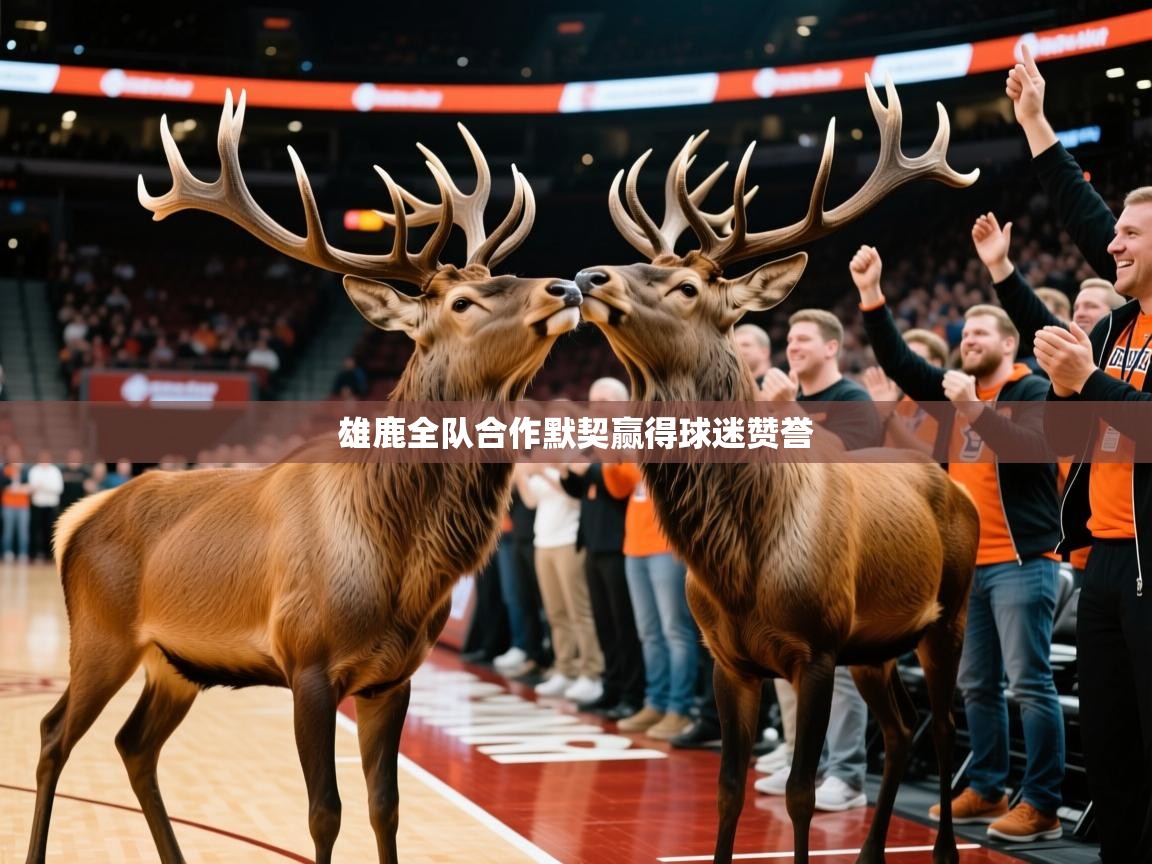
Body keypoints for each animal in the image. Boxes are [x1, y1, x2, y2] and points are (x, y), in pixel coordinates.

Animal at [26, 90, 582, 864]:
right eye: (461, 303)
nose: (567, 284)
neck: (401, 556)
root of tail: (73, 522)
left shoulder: (393, 677)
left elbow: (385, 807)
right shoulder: (307, 661)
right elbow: (325, 812)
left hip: (176, 661)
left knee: (134, 745)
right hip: (102, 636)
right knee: (54, 734)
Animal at [574, 77, 981, 864]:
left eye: (687, 288)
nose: (585, 272)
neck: (741, 557)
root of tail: (950, 483)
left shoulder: (815, 649)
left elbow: (796, 793)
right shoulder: (729, 659)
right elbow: (729, 789)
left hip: (949, 614)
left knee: (945, 729)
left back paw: (943, 848)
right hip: (876, 645)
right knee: (900, 729)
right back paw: (870, 851)